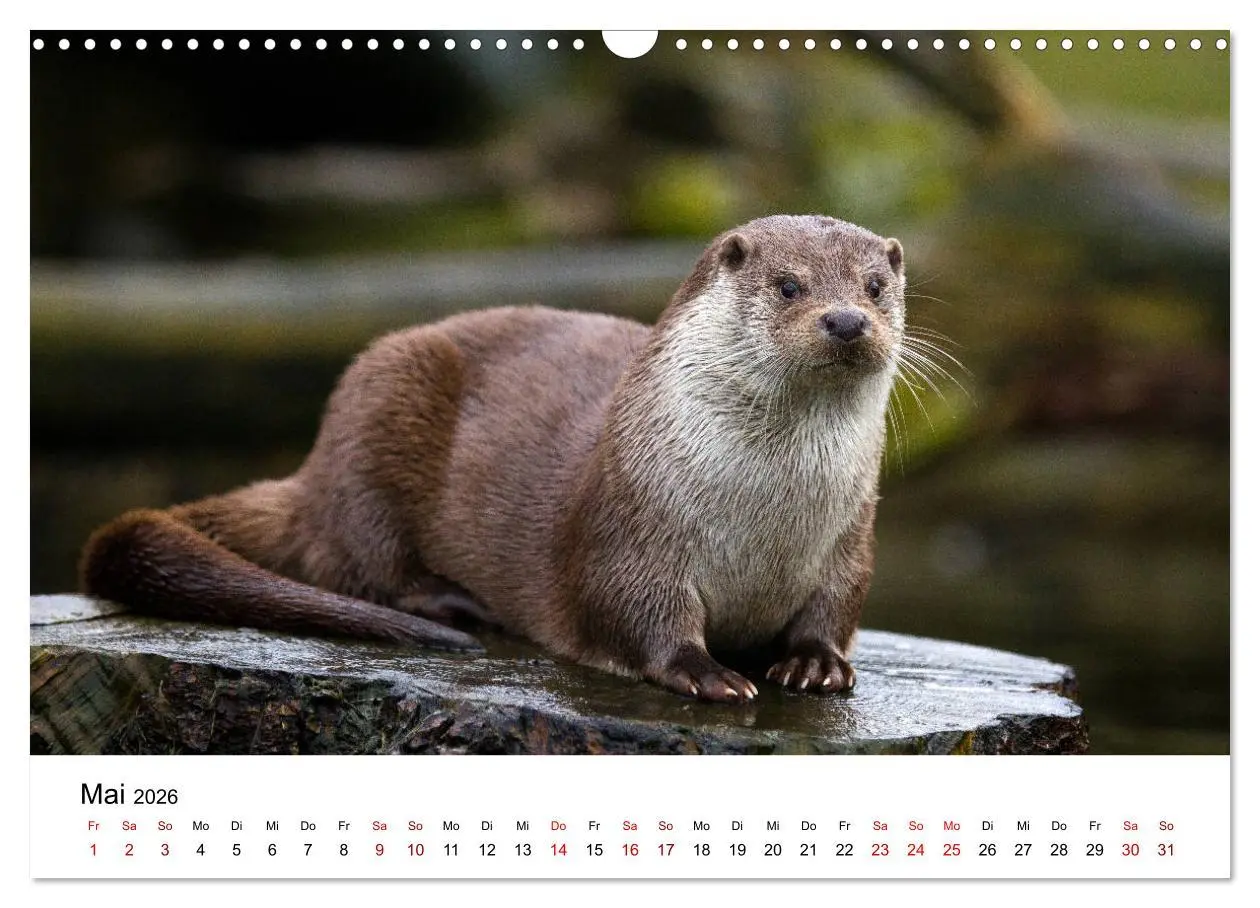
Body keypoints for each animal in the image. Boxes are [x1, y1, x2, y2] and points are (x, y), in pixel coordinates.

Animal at [80, 214, 906, 702]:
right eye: (789, 285)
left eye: (876, 286)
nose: (846, 320)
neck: (766, 517)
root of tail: (312, 474)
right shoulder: (629, 527)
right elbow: (634, 611)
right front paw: (707, 673)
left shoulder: (851, 538)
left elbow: (838, 606)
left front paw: (814, 664)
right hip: (377, 410)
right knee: (355, 561)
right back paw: (453, 604)